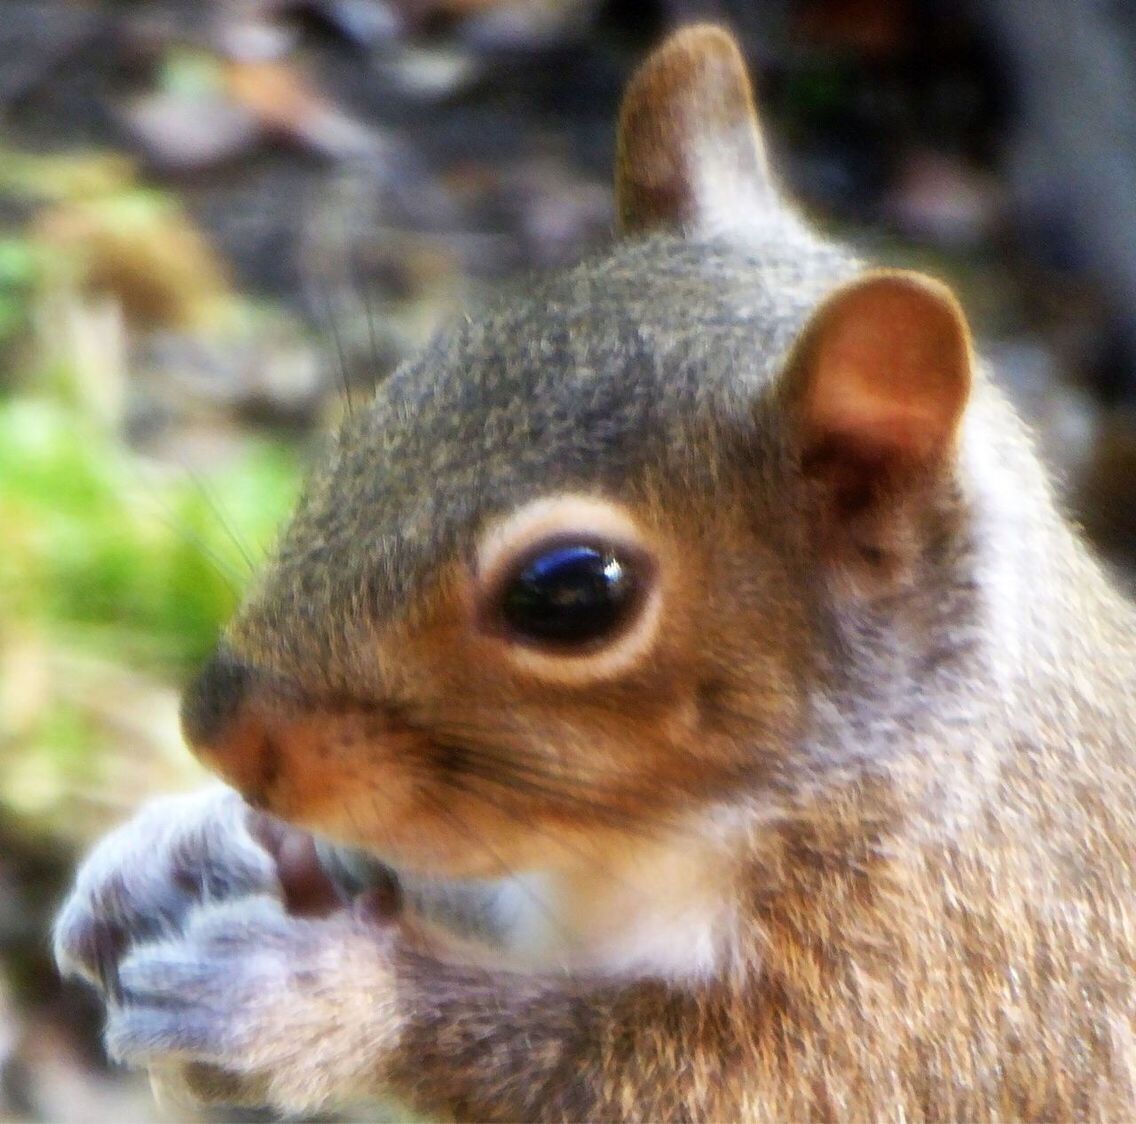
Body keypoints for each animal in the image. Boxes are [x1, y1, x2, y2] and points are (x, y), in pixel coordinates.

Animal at [48, 21, 1131, 1118]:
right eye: (395, 398)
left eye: (569, 592)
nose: (214, 729)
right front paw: (187, 856)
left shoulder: (924, 992)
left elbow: (660, 1078)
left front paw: (308, 999)